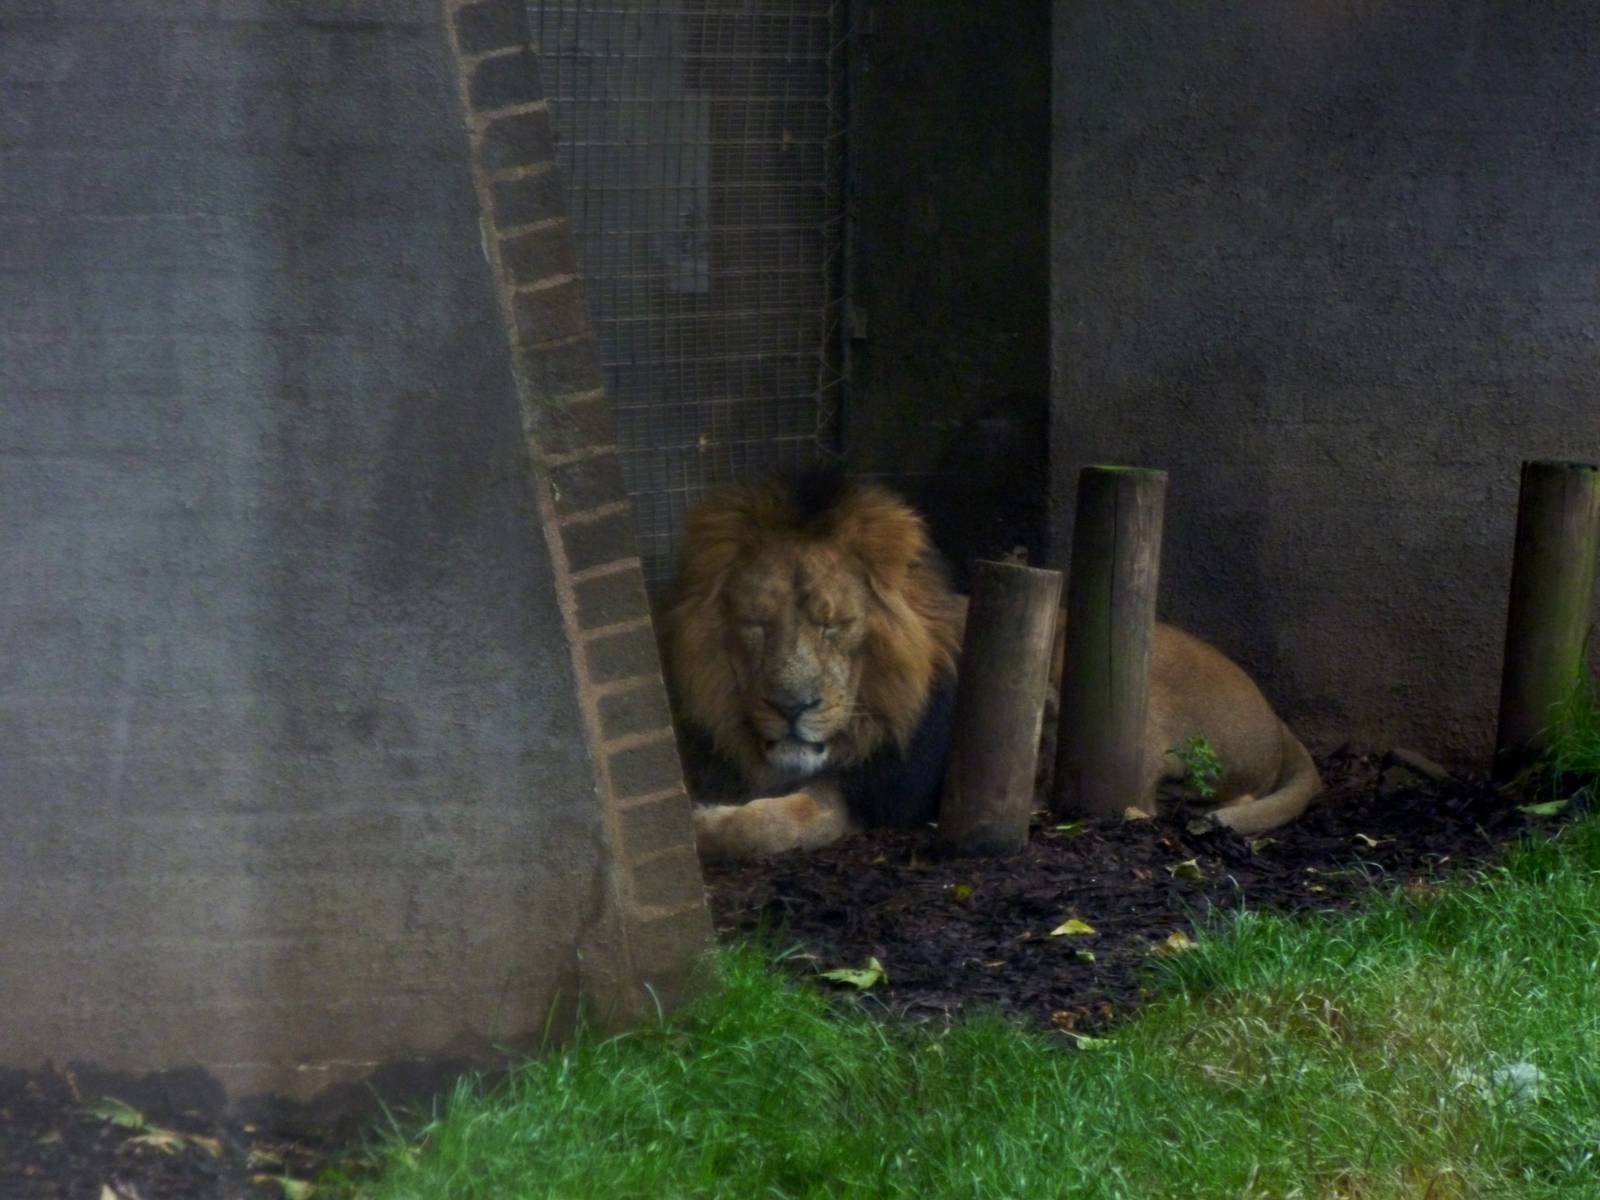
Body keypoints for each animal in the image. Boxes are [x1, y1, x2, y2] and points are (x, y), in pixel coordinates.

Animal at [661, 468, 1322, 863]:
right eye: (755, 624)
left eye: (835, 624)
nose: (792, 708)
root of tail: (1274, 716)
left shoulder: (878, 793)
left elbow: (782, 822)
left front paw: (701, 827)